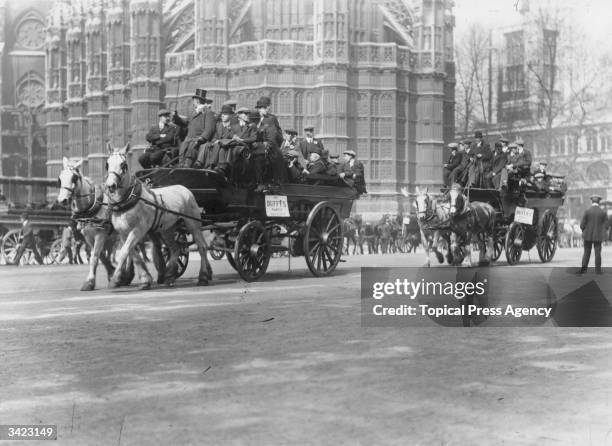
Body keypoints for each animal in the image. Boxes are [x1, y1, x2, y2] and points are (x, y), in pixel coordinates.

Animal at [104, 144, 212, 290]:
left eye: (123, 165)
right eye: (107, 164)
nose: (110, 186)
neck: (127, 201)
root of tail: (184, 188)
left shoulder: (138, 229)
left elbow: (124, 252)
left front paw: (115, 279)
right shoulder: (122, 233)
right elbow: (133, 254)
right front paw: (144, 279)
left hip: (192, 224)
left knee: (202, 247)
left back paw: (203, 277)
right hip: (168, 228)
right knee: (175, 248)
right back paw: (169, 276)